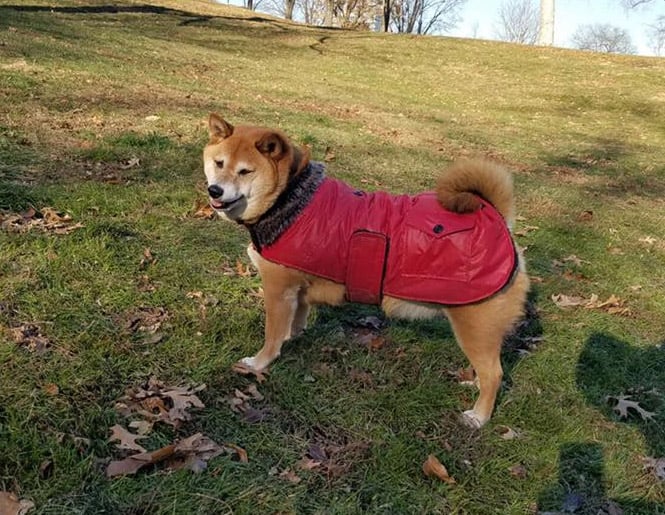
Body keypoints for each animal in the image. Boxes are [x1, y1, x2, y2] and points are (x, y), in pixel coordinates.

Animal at [202, 115, 528, 430]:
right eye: (219, 163)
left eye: (245, 171)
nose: (214, 190)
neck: (290, 198)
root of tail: (499, 220)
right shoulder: (298, 291)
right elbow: (295, 322)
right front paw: (292, 338)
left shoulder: (278, 291)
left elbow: (271, 336)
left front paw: (259, 363)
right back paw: (473, 383)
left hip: (474, 326)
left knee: (494, 374)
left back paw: (479, 416)